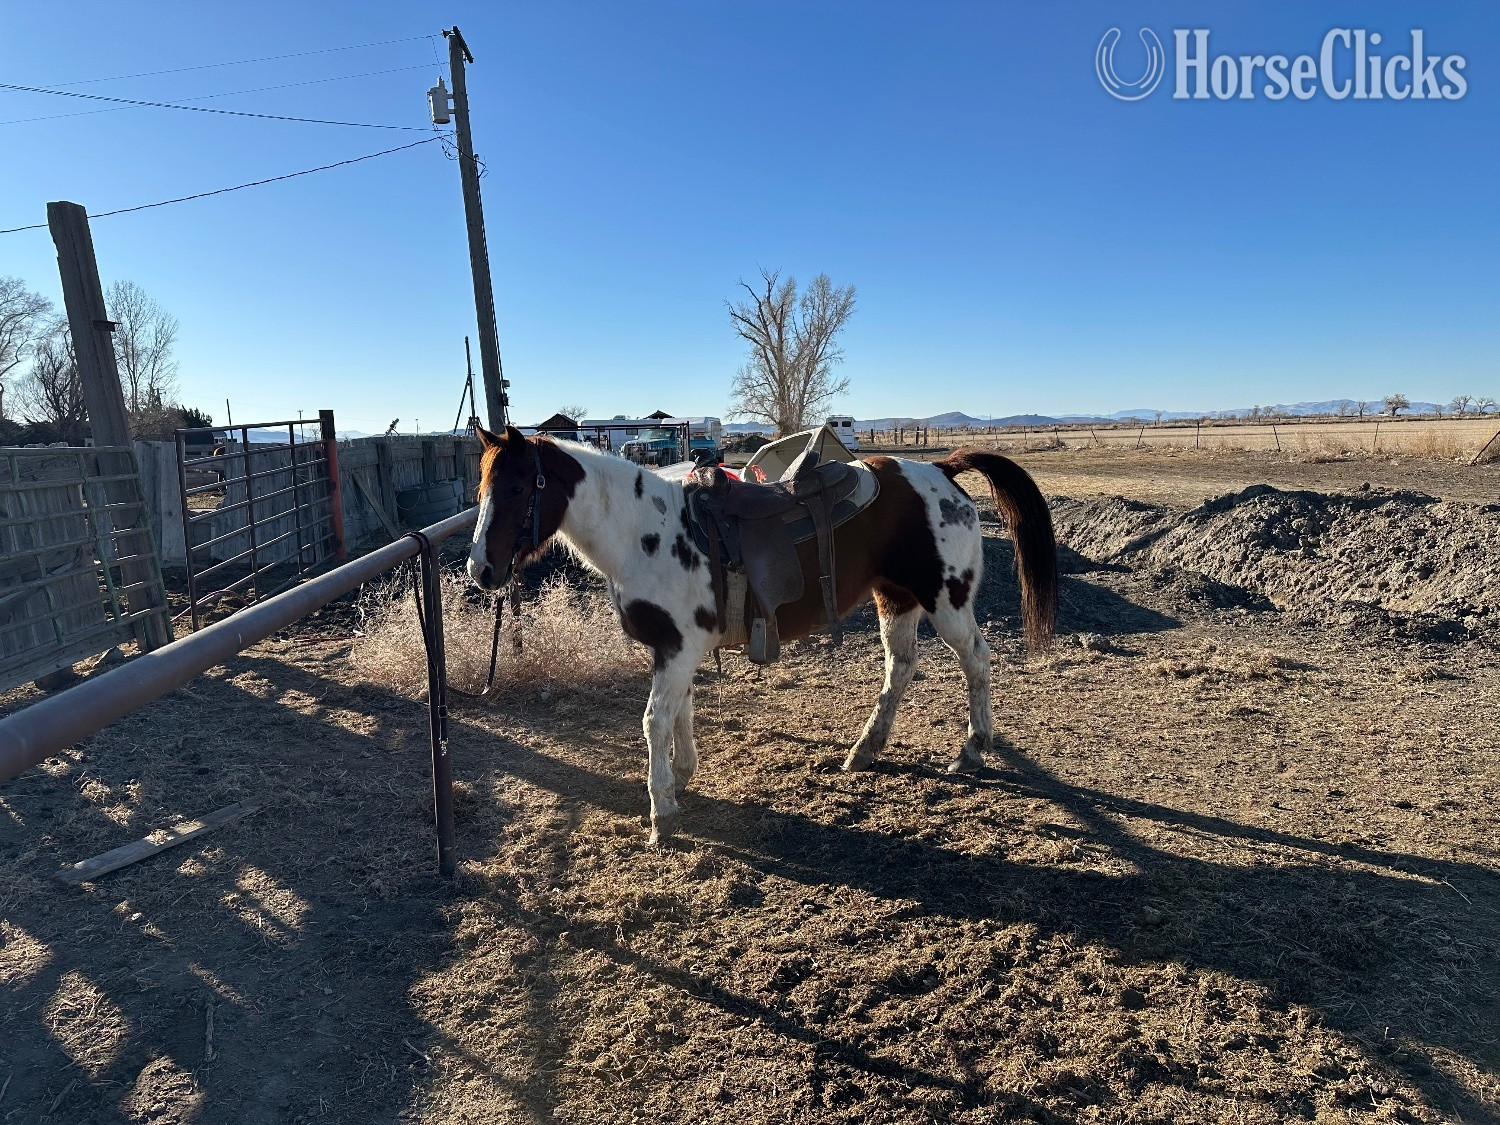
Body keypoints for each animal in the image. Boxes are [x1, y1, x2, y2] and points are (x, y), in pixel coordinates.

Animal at [466, 425, 1058, 843]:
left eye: (516, 487)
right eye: (482, 486)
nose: (480, 570)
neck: (642, 533)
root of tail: (941, 469)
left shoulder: (676, 648)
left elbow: (654, 720)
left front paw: (662, 811)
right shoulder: (675, 650)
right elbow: (680, 711)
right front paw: (683, 774)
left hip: (946, 600)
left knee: (976, 660)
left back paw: (972, 749)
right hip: (897, 597)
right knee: (901, 666)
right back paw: (865, 750)